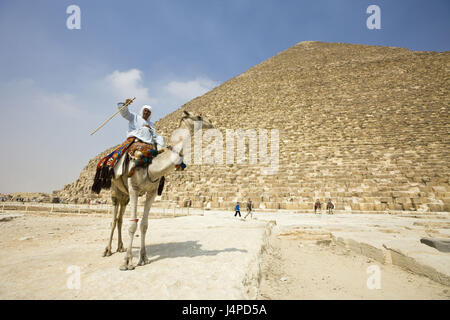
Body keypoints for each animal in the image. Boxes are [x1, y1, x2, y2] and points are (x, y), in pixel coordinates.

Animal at [103, 111, 214, 272]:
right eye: (199, 117)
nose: (211, 122)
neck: (152, 167)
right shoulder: (134, 189)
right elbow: (133, 225)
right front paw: (127, 262)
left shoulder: (152, 193)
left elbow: (144, 225)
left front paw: (143, 258)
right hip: (115, 191)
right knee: (113, 220)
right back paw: (108, 250)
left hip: (125, 196)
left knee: (119, 219)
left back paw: (120, 247)